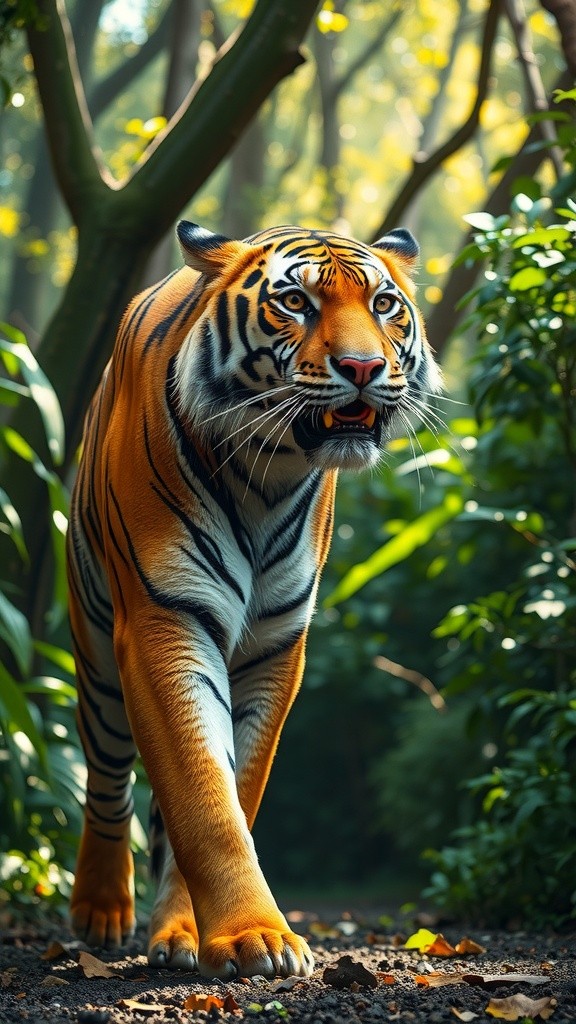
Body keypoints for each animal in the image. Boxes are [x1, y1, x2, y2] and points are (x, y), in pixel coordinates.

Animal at [66, 221, 441, 980]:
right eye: (295, 301)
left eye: (384, 304)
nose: (363, 367)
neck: (269, 477)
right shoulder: (164, 620)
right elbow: (203, 795)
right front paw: (255, 938)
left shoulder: (275, 646)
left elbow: (233, 787)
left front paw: (213, 934)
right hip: (96, 656)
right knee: (108, 779)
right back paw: (101, 912)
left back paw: (173, 933)